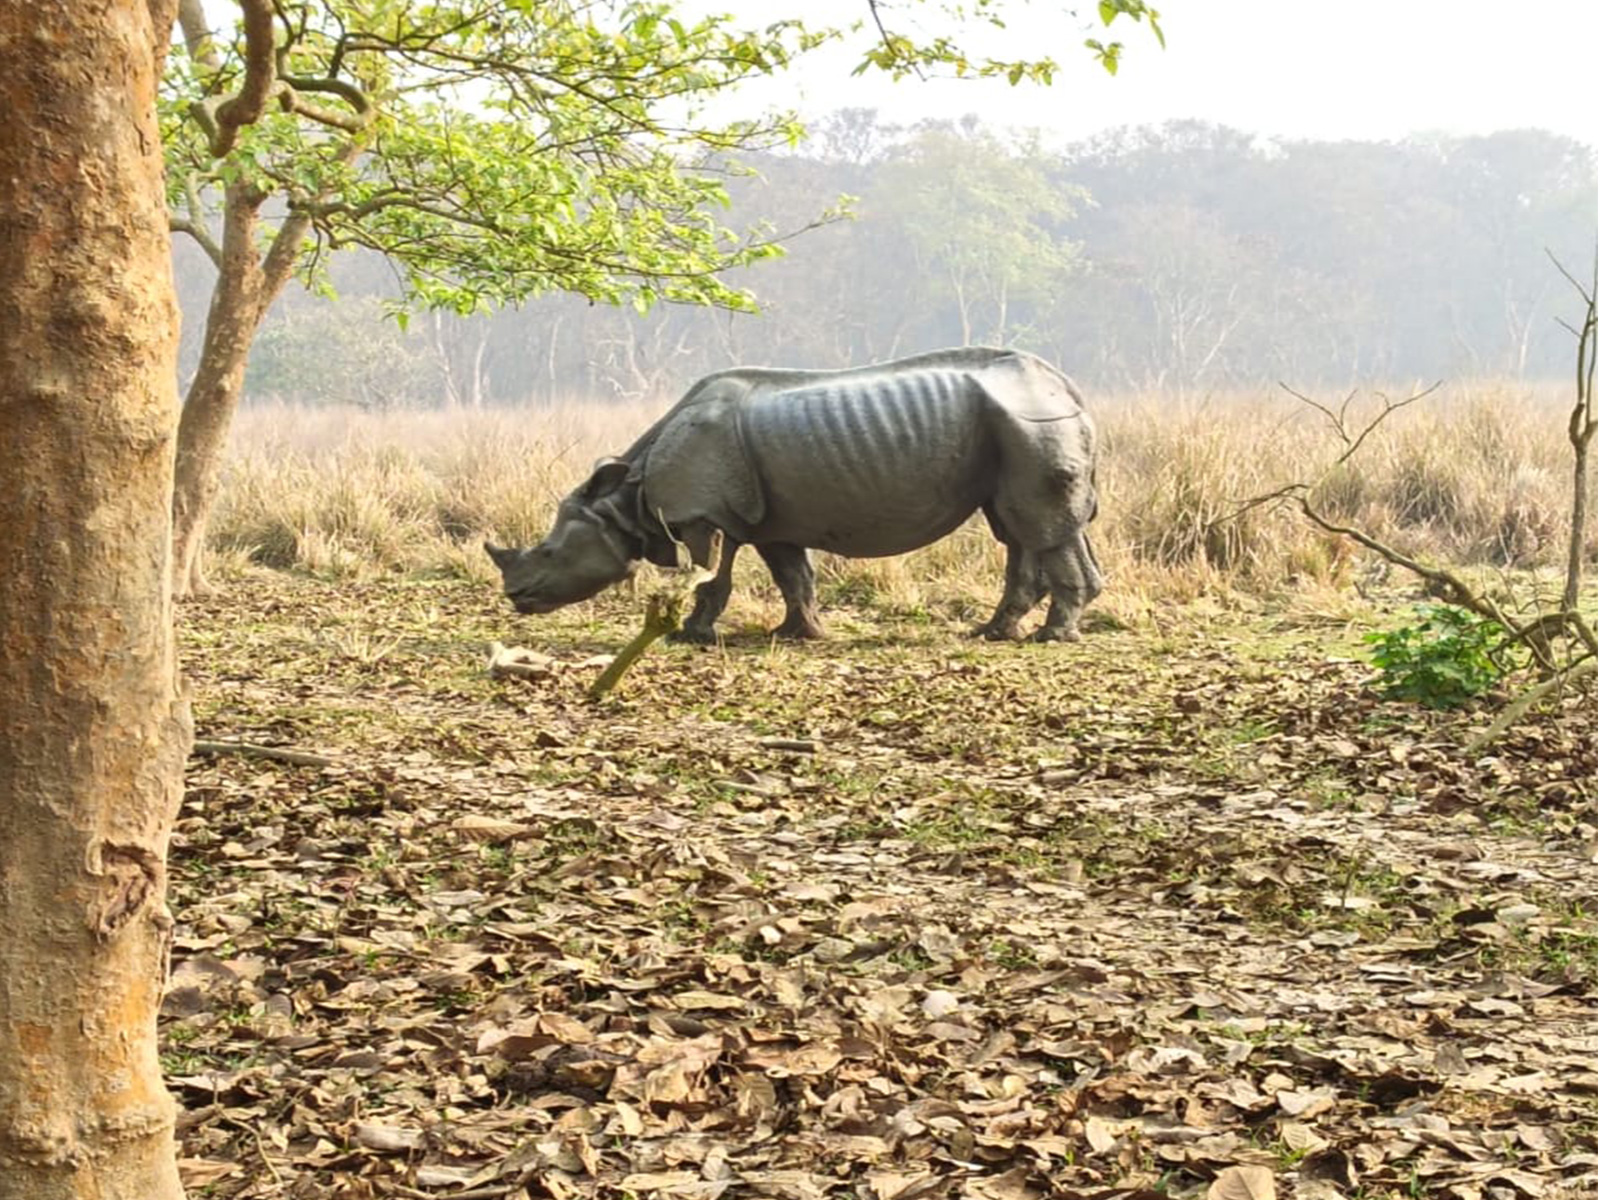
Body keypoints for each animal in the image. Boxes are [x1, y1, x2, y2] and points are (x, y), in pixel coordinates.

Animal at [486, 347, 1103, 643]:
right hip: (1015, 430)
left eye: (548, 552)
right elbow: (792, 575)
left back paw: (1050, 637)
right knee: (1018, 528)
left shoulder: (703, 514)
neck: (624, 498)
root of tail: (1067, 386)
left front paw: (690, 635)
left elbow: (711, 577)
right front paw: (797, 633)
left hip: (1028, 423)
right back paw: (994, 633)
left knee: (1038, 526)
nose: (515, 596)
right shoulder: (769, 521)